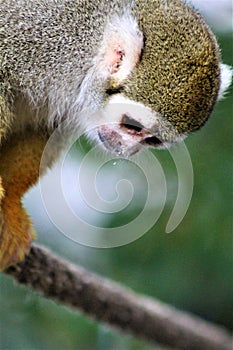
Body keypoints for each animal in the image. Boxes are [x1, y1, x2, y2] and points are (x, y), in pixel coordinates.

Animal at [0, 0, 231, 270]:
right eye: (133, 126)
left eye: (153, 140)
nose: (126, 149)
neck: (87, 49)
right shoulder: (40, 34)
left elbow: (43, 130)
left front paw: (10, 205)